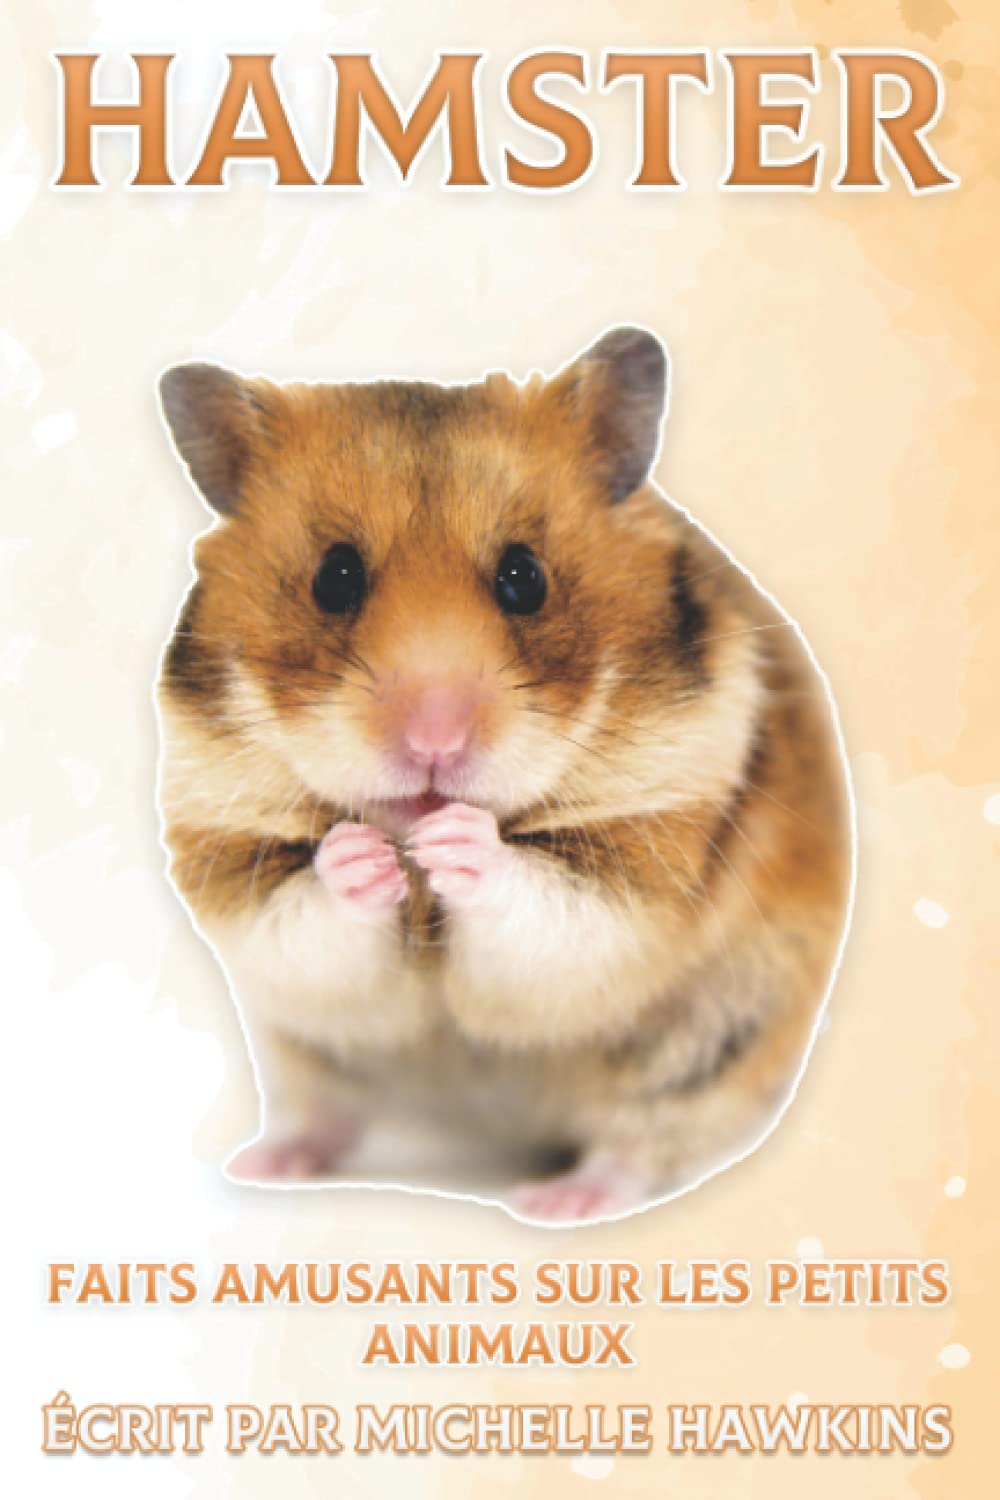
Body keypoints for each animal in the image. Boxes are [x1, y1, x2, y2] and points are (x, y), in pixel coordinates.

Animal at [156, 328, 851, 1222]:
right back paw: (262, 1166)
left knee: (636, 1148)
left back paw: (558, 1200)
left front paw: (454, 839)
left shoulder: (640, 861)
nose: (434, 742)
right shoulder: (230, 854)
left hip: (712, 1052)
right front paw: (366, 856)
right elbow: (307, 909)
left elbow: (540, 899)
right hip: (300, 1059)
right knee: (325, 1116)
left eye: (525, 577)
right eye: (333, 578)